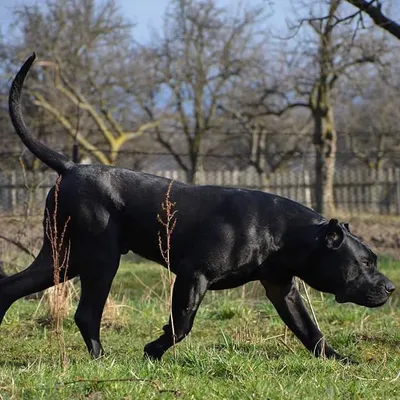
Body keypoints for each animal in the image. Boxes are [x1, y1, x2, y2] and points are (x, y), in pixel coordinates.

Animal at [3, 54, 396, 362]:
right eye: (365, 263)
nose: (392, 287)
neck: (285, 234)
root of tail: (70, 167)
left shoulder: (282, 289)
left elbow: (311, 331)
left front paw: (339, 360)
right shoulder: (194, 276)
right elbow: (183, 323)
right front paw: (153, 350)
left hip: (63, 256)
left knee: (11, 286)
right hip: (99, 261)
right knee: (86, 314)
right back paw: (102, 358)